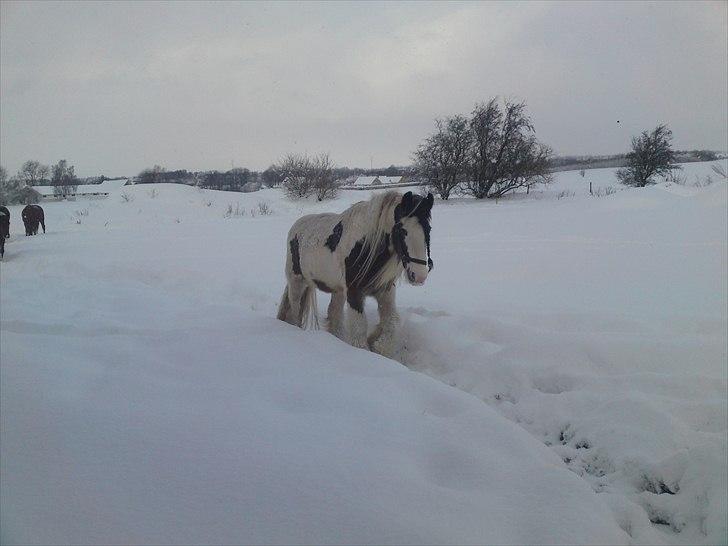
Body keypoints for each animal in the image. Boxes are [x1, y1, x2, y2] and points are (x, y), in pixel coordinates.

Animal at [274, 189, 432, 354]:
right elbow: (359, 329)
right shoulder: (354, 292)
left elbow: (392, 323)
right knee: (295, 312)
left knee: (334, 314)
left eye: (428, 229)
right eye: (402, 230)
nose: (419, 276)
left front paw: (377, 344)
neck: (365, 246)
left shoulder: (385, 292)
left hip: (337, 290)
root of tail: (296, 227)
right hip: (297, 282)